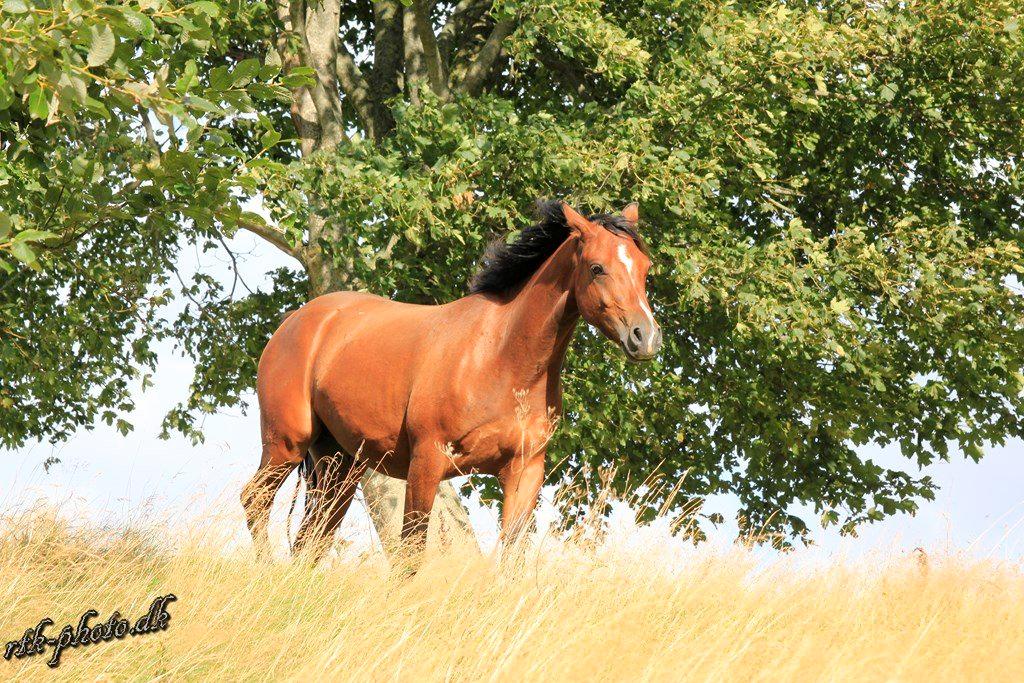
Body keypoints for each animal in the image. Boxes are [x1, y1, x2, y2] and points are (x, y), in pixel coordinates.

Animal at [241, 200, 661, 563]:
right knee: (255, 500)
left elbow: (510, 556)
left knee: (315, 535)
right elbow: (411, 553)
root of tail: (298, 322)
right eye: (597, 267)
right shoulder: (427, 463)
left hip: (340, 463)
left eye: (645, 267)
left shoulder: (525, 473)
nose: (645, 337)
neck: (499, 360)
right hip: (286, 444)